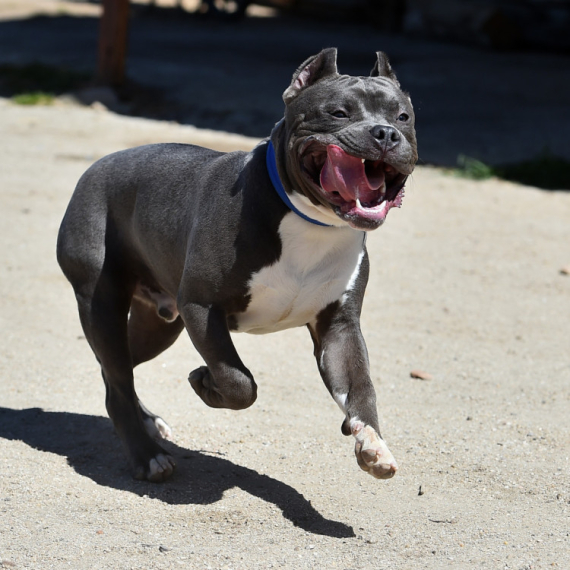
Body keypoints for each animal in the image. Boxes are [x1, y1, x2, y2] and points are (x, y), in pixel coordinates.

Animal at [57, 48, 418, 482]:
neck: (310, 222)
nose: (385, 134)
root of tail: (94, 167)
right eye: (338, 112)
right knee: (117, 377)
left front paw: (372, 444)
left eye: (404, 117)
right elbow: (239, 381)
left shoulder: (339, 326)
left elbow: (361, 386)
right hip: (103, 303)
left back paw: (147, 423)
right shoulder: (201, 307)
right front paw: (206, 382)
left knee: (118, 372)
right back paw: (148, 456)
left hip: (159, 323)